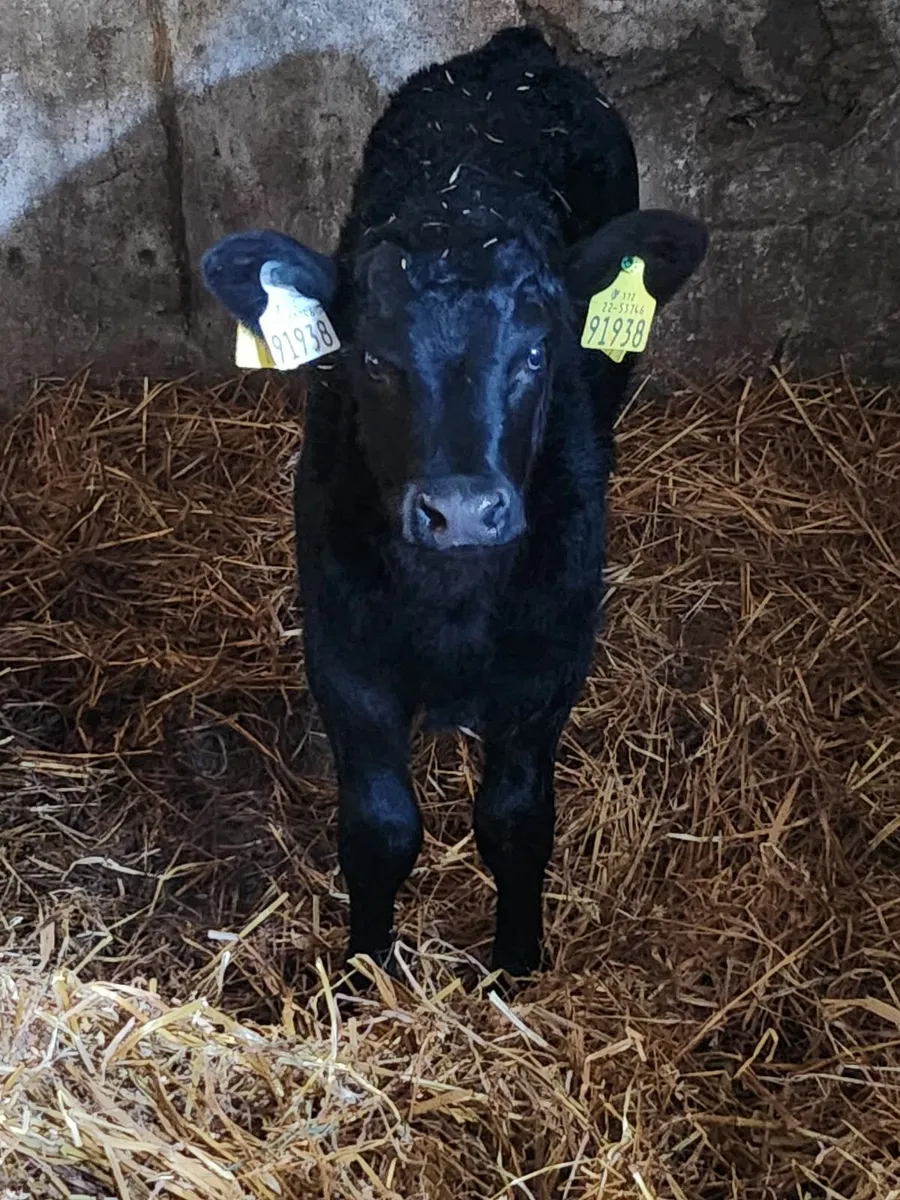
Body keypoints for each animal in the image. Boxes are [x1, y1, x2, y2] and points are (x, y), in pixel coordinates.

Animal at [200, 26, 708, 979]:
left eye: (538, 352)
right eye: (370, 358)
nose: (464, 511)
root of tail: (515, 52)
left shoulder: (551, 662)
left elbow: (516, 824)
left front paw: (515, 963)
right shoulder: (343, 656)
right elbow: (380, 829)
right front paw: (365, 967)